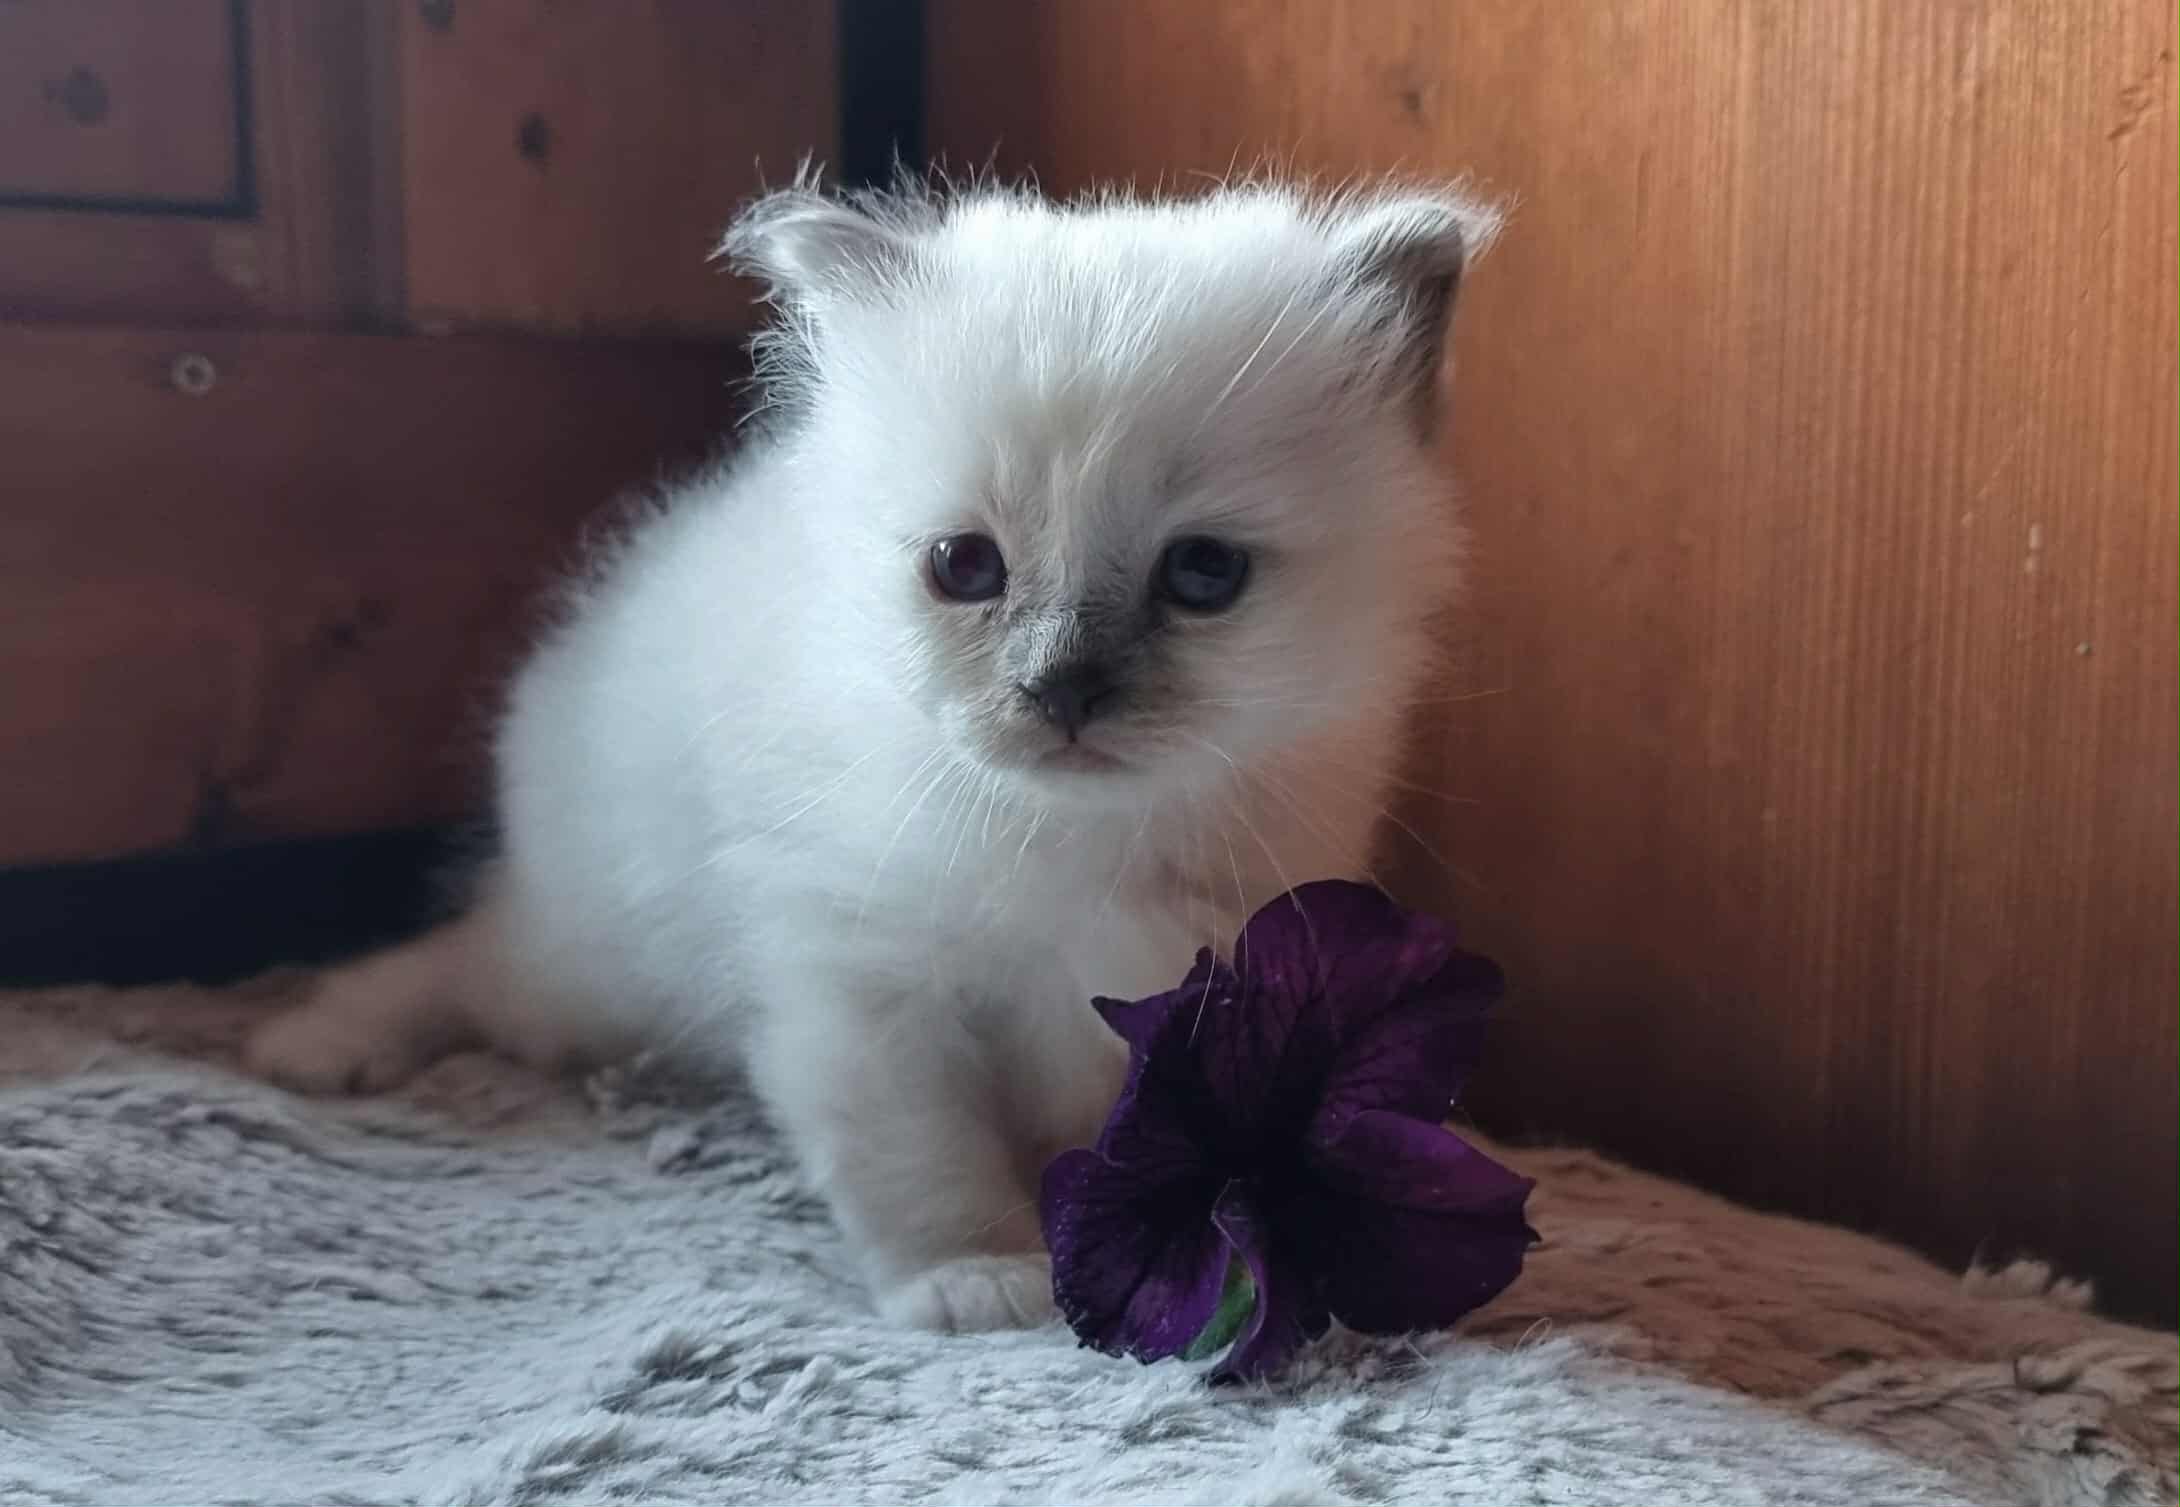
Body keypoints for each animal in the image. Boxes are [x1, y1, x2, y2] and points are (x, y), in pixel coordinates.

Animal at [245, 177, 1498, 1333]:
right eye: (962, 567)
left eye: (1202, 575)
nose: (1059, 691)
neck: (1074, 842)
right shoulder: (861, 978)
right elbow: (920, 1154)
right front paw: (979, 1279)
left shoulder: (1203, 982)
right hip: (587, 973)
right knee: (459, 961)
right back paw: (314, 1047)